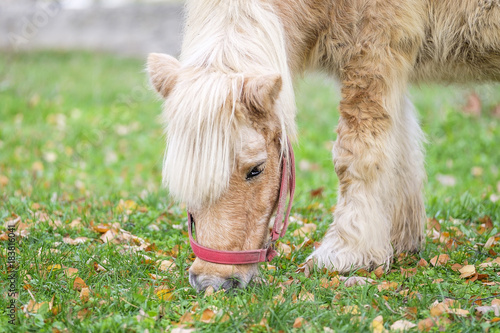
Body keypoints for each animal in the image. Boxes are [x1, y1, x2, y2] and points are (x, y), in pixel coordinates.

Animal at [146, 0, 500, 290]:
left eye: (256, 169)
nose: (211, 282)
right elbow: (400, 151)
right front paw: (399, 242)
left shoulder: (374, 51)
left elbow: (358, 154)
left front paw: (348, 252)